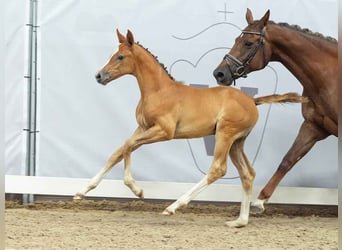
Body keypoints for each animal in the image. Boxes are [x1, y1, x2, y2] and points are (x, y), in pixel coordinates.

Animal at [73, 29, 306, 227]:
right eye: (113, 54)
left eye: (120, 57)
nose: (99, 76)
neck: (159, 91)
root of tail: (253, 101)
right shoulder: (142, 128)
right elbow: (118, 151)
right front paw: (81, 192)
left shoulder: (164, 131)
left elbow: (128, 147)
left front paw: (137, 190)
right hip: (237, 142)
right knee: (248, 174)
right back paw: (240, 221)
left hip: (225, 135)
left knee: (218, 169)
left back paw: (174, 206)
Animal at [212, 8, 338, 214]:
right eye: (236, 40)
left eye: (248, 43)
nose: (219, 73)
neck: (329, 77)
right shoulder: (314, 126)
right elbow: (288, 160)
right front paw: (260, 201)